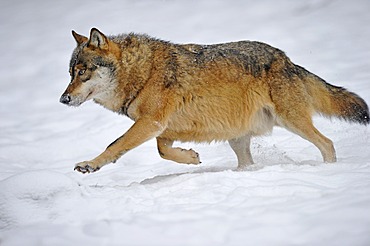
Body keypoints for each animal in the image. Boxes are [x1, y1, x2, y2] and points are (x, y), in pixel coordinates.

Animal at [59, 27, 368, 174]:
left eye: (83, 72)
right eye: (70, 73)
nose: (63, 98)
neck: (141, 71)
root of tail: (286, 59)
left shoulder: (152, 122)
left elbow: (115, 145)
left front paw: (89, 165)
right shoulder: (161, 127)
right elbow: (162, 151)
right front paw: (191, 158)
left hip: (292, 121)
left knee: (327, 143)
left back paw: (329, 169)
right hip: (238, 139)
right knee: (247, 163)